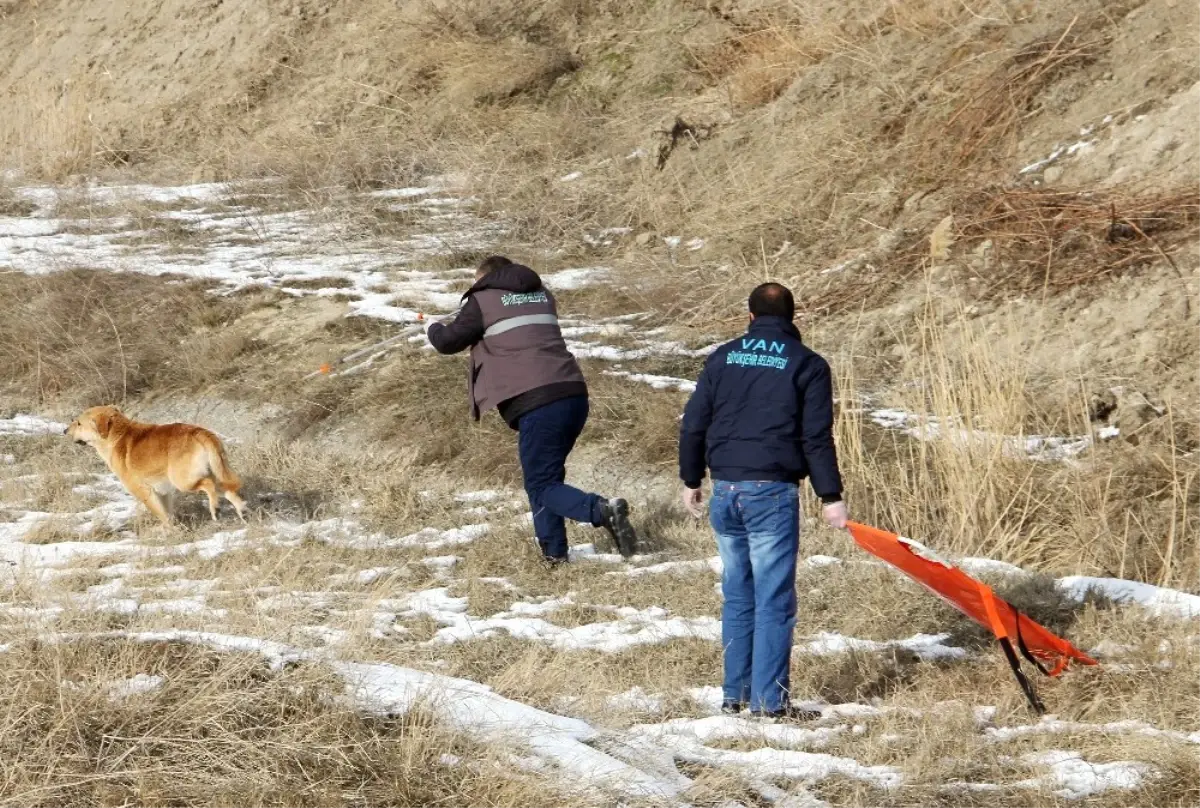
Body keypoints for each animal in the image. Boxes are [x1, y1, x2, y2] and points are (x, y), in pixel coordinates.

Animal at [66, 405, 247, 525]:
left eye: (79, 423)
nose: (64, 430)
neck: (116, 436)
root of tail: (199, 432)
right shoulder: (163, 492)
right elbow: (167, 512)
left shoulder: (144, 492)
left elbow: (161, 515)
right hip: (216, 472)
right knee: (229, 491)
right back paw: (242, 511)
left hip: (183, 481)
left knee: (209, 486)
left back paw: (215, 508)